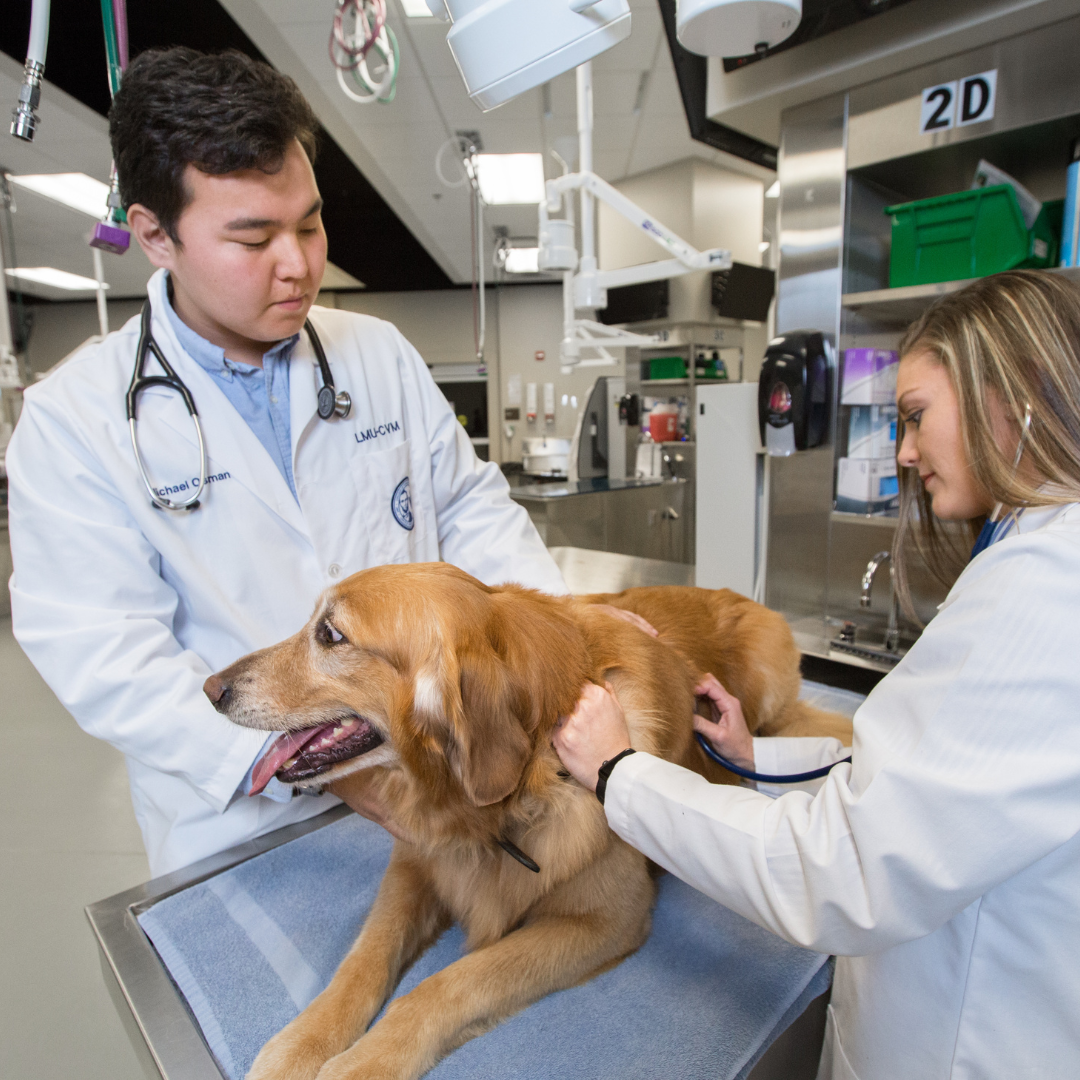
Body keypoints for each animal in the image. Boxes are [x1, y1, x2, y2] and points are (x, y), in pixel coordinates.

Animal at [206, 565, 851, 1080]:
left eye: (331, 635)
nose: (211, 688)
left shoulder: (604, 921)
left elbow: (447, 985)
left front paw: (365, 1062)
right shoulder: (417, 865)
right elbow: (362, 960)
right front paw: (302, 1044)